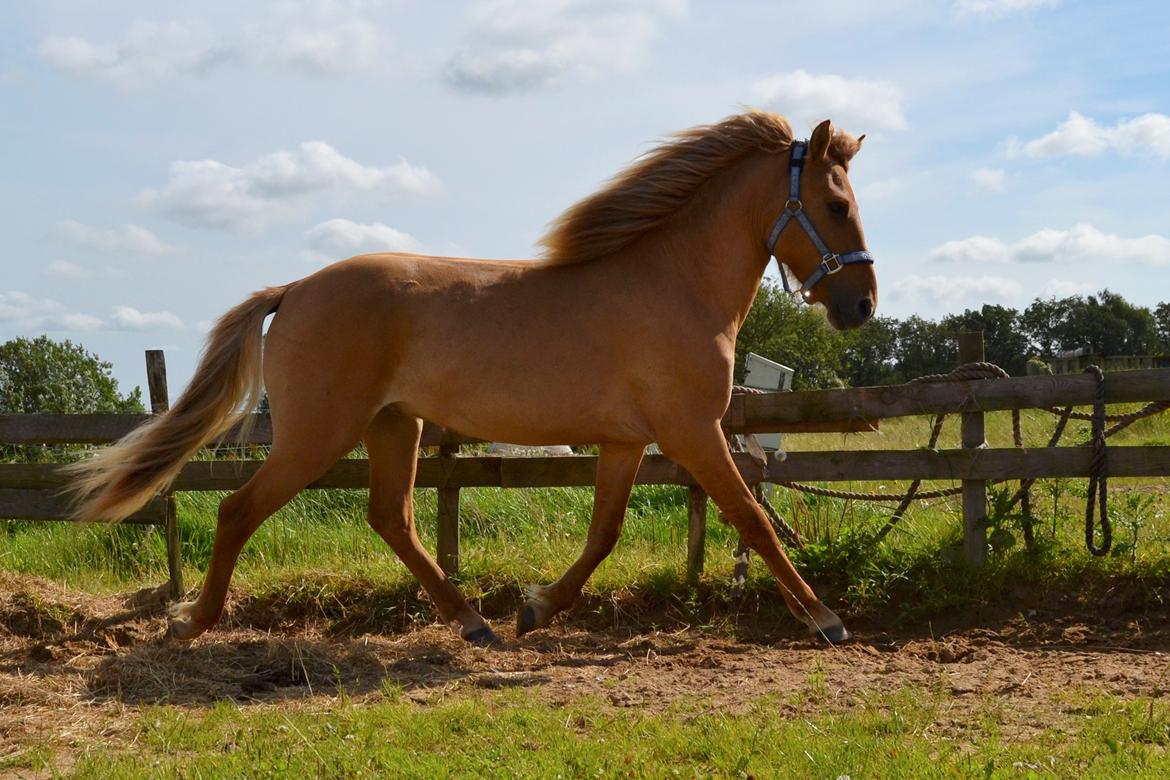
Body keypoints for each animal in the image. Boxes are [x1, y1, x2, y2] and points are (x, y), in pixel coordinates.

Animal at [68, 109, 879, 645]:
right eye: (836, 205)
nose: (861, 305)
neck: (672, 283)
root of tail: (294, 290)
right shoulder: (692, 431)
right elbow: (752, 518)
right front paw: (825, 618)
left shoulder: (626, 442)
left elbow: (604, 533)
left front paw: (535, 608)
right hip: (318, 434)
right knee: (241, 511)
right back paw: (193, 622)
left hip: (394, 425)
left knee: (391, 517)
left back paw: (471, 623)